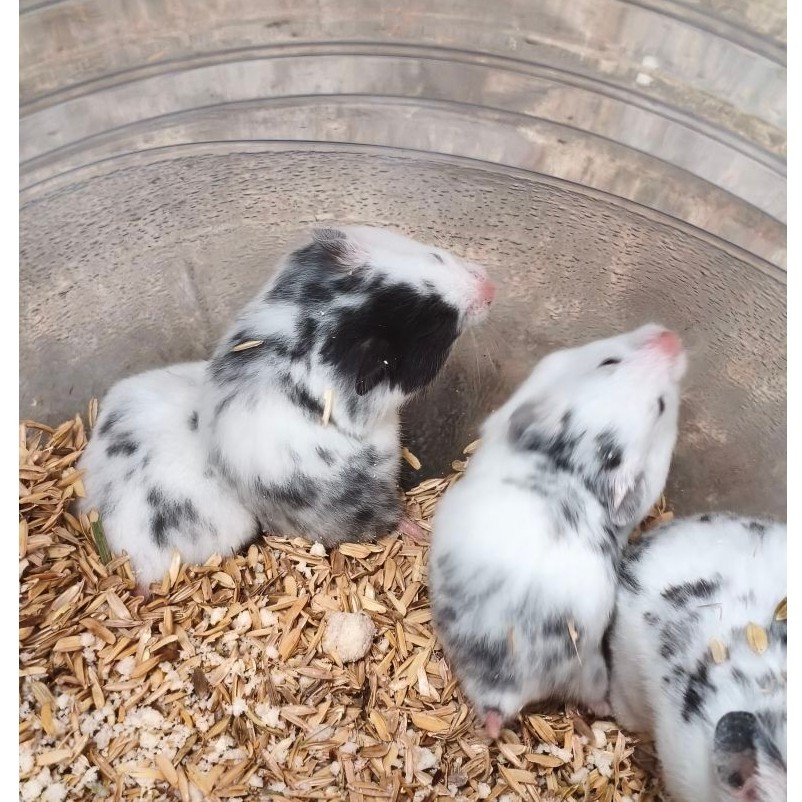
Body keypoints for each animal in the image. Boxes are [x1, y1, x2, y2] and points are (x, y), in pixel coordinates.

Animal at [78, 226, 494, 591]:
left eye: (436, 255)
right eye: (438, 324)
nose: (491, 287)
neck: (310, 327)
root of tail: (138, 571)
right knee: (387, 520)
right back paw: (417, 530)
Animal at [429, 323, 686, 738]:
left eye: (662, 405)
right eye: (608, 361)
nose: (671, 336)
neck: (572, 464)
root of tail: (516, 684)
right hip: (585, 669)